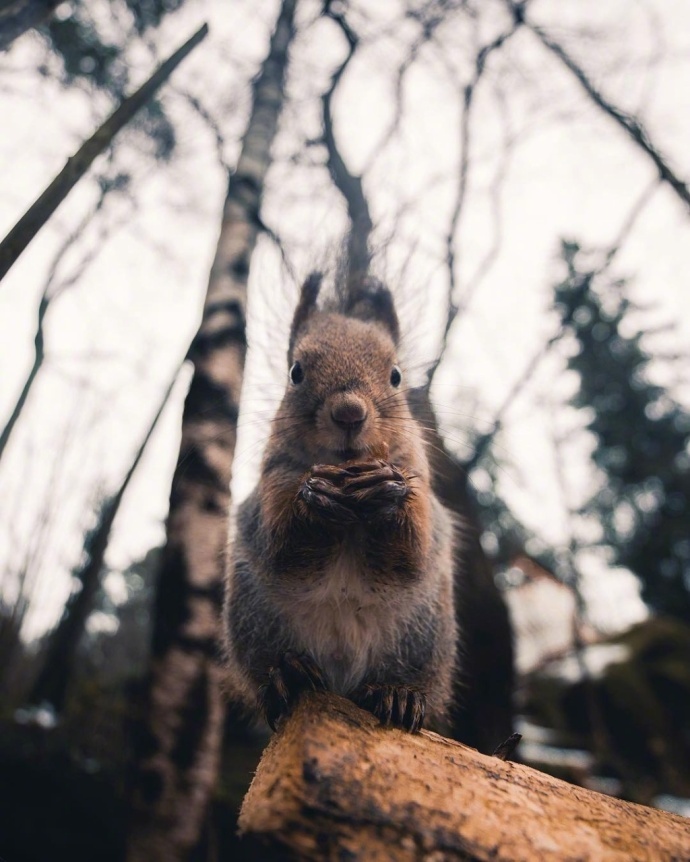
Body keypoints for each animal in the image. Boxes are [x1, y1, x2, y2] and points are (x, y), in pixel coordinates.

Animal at [223, 274, 460, 732]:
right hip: (254, 618)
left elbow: (415, 547)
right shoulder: (269, 489)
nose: (349, 412)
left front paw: (389, 489)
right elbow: (282, 543)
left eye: (396, 375)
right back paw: (288, 674)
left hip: (423, 634)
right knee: (269, 669)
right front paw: (315, 496)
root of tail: (340, 682)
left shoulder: (423, 490)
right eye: (295, 372)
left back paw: (399, 693)